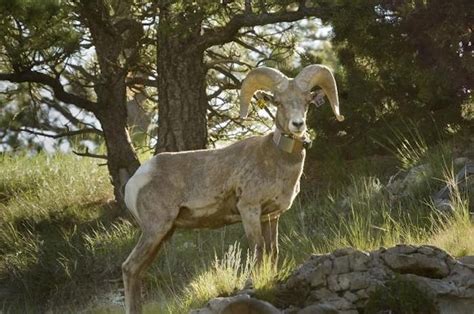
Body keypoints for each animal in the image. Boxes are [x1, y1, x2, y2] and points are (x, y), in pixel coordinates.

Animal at [123, 63, 344, 312]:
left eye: (307, 101)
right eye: (278, 102)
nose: (298, 125)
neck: (275, 160)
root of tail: (135, 181)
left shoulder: (271, 217)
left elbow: (272, 252)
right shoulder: (249, 210)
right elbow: (258, 250)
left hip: (163, 234)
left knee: (138, 271)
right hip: (155, 229)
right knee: (129, 268)